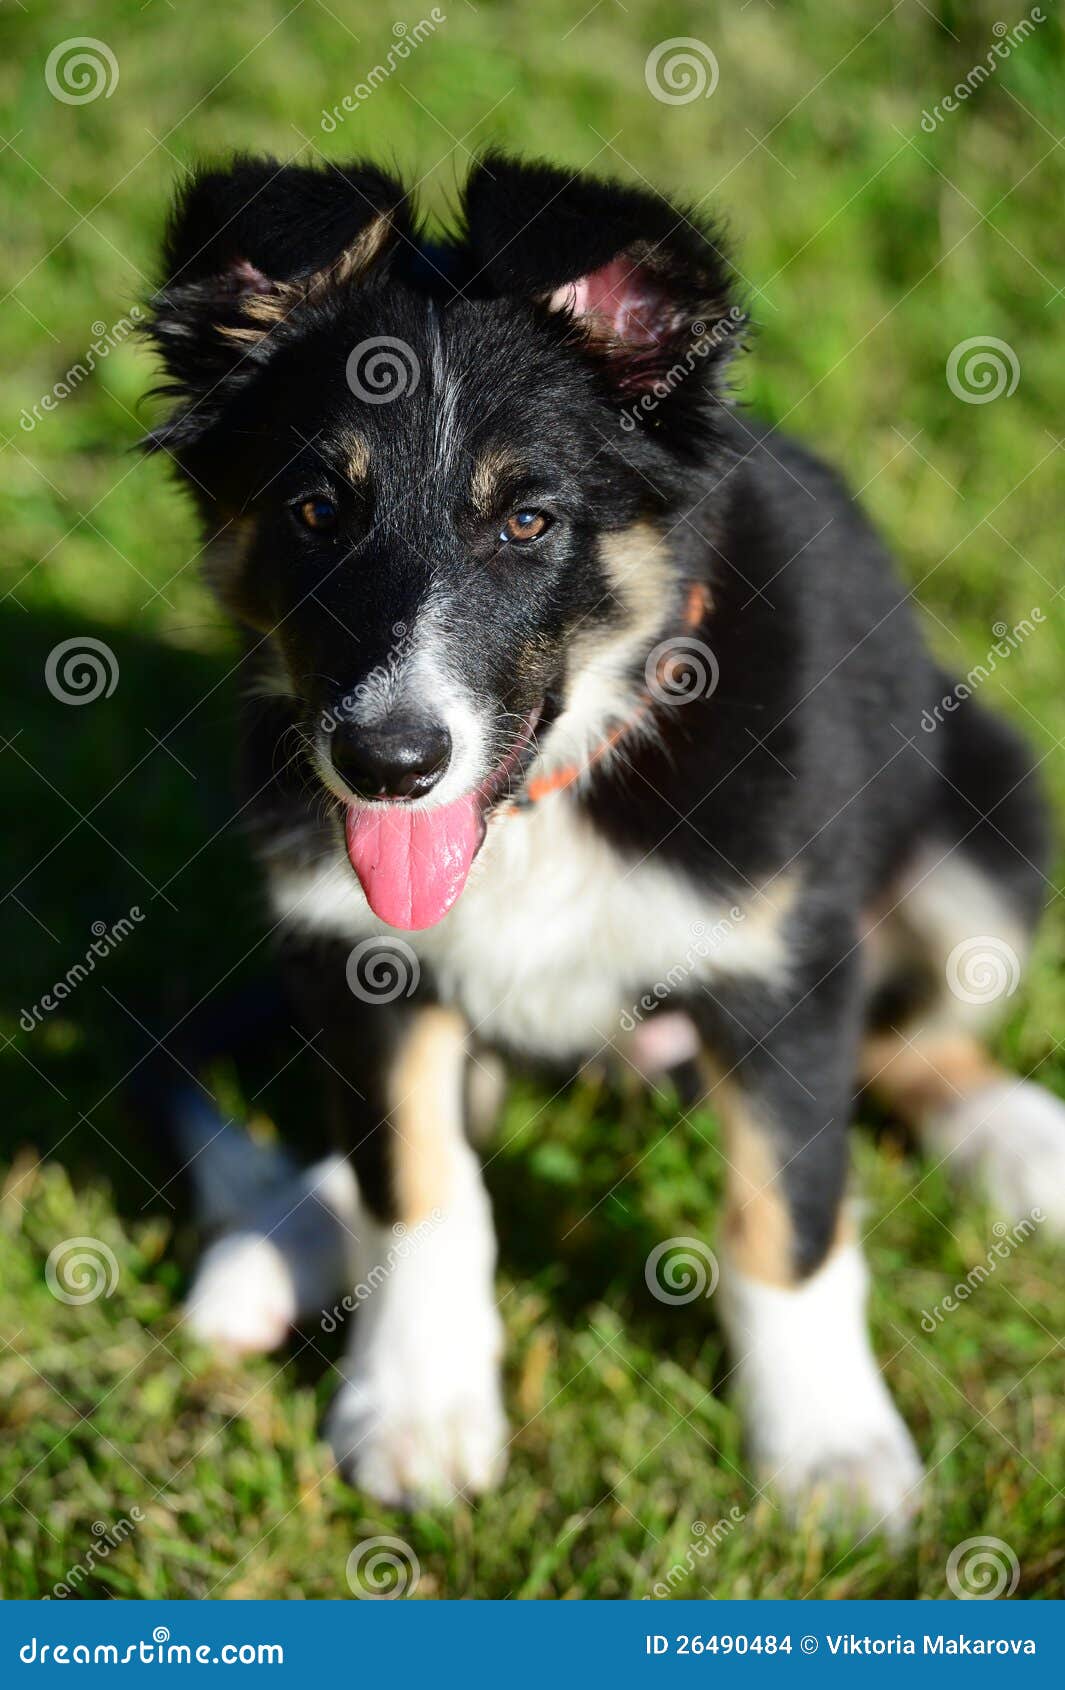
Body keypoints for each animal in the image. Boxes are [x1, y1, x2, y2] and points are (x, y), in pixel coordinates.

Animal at [146, 155, 1061, 1534]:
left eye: (528, 523)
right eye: (313, 510)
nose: (388, 765)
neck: (549, 797)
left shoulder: (780, 964)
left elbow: (786, 1215)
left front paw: (831, 1453)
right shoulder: (360, 960)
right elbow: (419, 1186)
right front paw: (416, 1410)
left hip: (987, 837)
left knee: (919, 1044)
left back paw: (1022, 1143)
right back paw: (285, 1238)